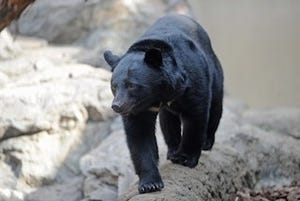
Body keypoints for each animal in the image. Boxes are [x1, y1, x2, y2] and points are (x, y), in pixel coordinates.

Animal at [103, 14, 223, 193]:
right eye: (113, 86)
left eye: (132, 85)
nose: (117, 106)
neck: (157, 95)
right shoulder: (137, 108)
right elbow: (140, 135)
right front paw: (150, 184)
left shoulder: (192, 79)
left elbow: (196, 114)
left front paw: (185, 158)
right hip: (168, 111)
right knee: (168, 121)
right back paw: (173, 150)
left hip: (214, 70)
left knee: (215, 105)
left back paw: (206, 142)